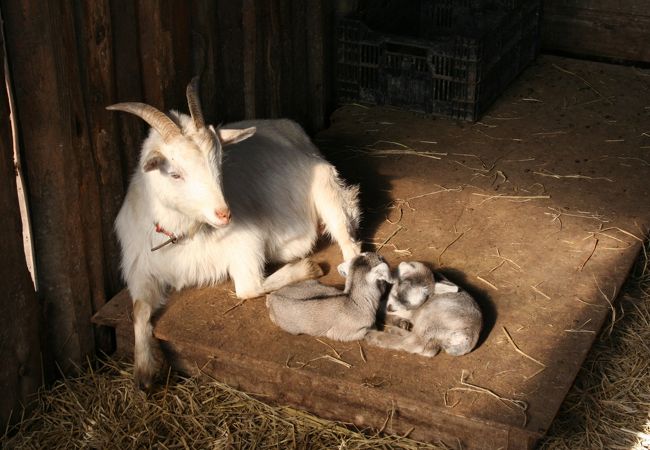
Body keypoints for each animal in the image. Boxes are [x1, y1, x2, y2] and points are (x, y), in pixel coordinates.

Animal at [106, 77, 360, 386]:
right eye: (175, 173)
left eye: (219, 163)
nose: (224, 214)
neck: (181, 235)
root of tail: (289, 127)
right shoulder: (140, 268)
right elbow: (139, 310)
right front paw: (144, 372)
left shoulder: (247, 244)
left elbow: (248, 289)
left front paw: (307, 268)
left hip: (328, 188)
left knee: (348, 240)